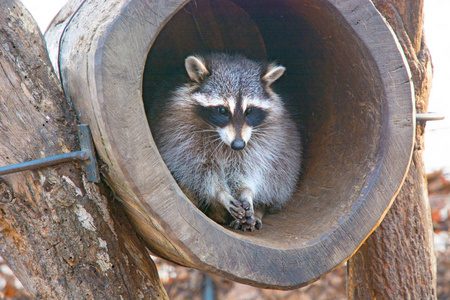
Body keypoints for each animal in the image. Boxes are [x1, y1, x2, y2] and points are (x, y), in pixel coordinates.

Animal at [152, 53, 302, 232]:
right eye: (222, 110)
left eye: (249, 111)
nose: (238, 145)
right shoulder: (181, 137)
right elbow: (199, 171)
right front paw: (220, 194)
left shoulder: (263, 142)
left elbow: (248, 169)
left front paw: (247, 192)